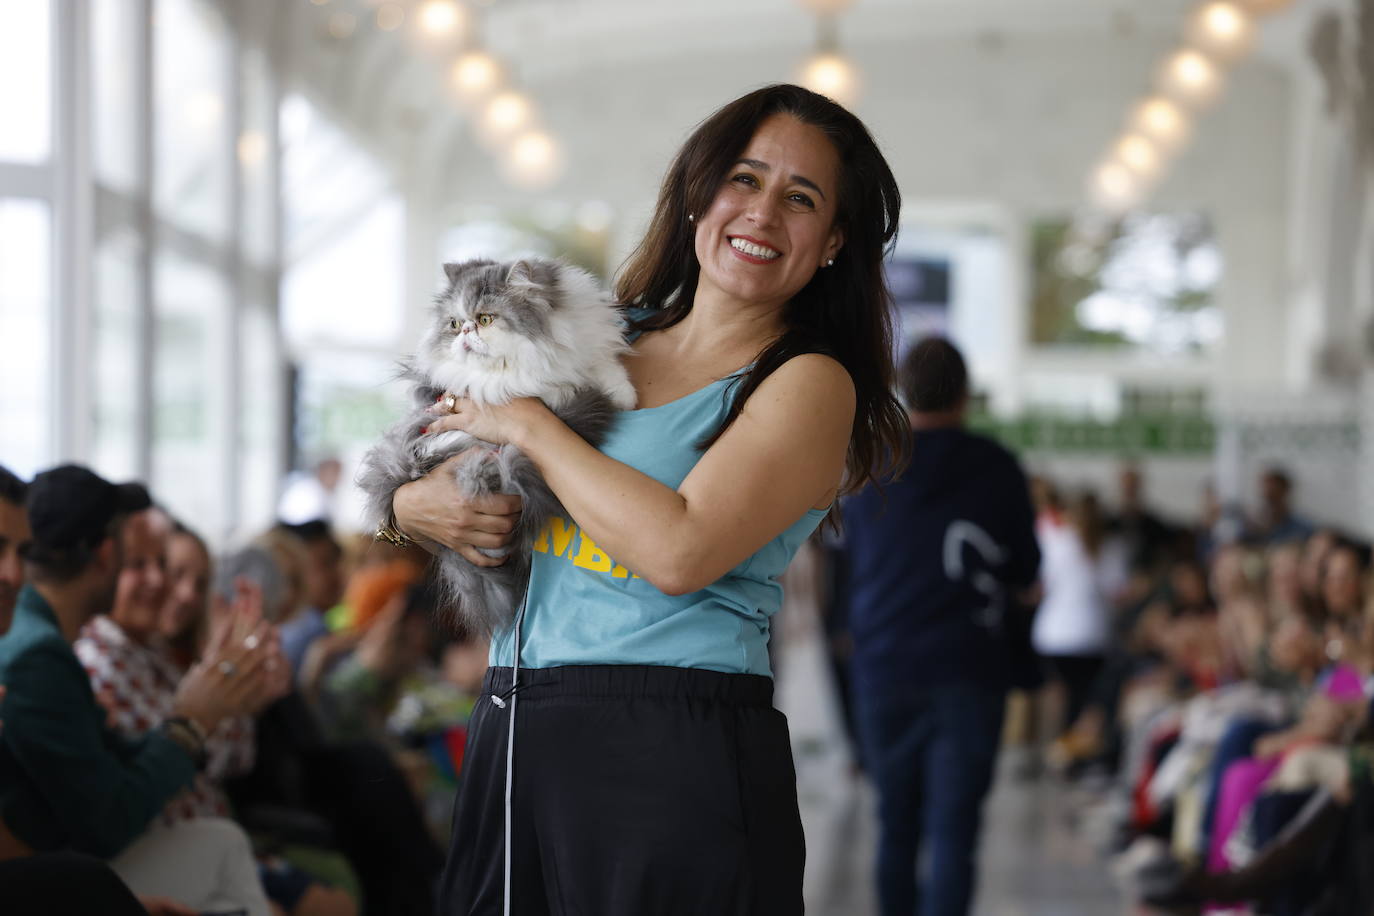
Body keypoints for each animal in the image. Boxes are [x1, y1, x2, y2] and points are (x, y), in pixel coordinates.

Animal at [354, 254, 632, 634]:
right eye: (455, 324)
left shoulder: (586, 349)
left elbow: (605, 368)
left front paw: (625, 395)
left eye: (485, 319)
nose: (466, 332)